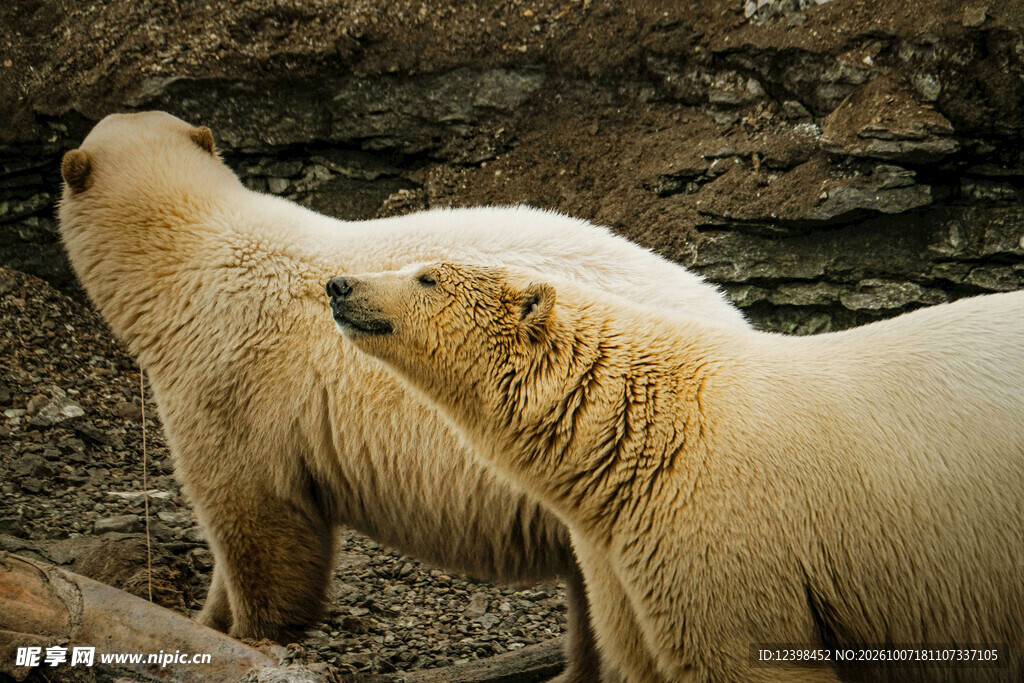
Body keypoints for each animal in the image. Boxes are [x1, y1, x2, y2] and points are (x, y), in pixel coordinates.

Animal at [329, 261, 1024, 682]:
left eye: (425, 276)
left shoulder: (723, 531)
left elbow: (740, 655)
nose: (339, 286)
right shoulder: (620, 553)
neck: (644, 425)